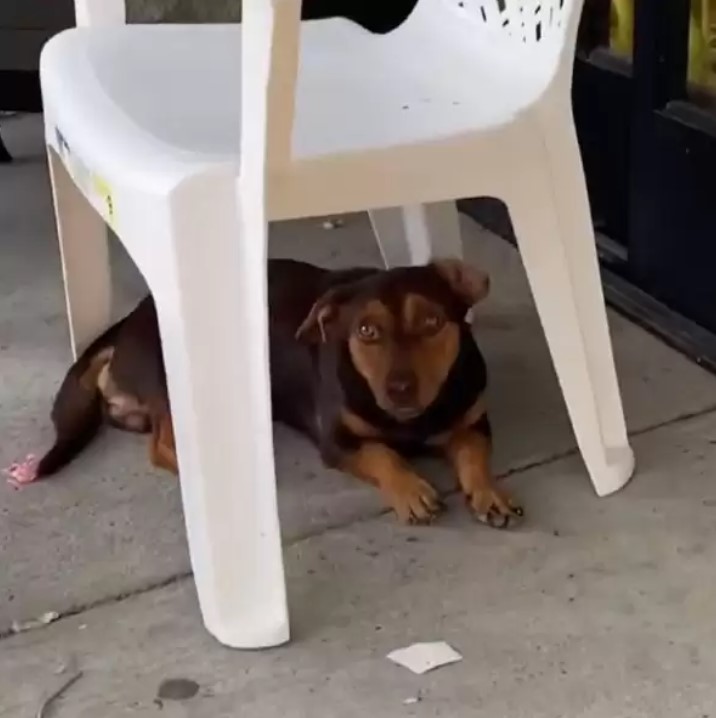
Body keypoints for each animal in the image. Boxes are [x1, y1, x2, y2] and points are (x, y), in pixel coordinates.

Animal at [4, 262, 520, 532]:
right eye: (366, 332)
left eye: (432, 322)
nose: (400, 387)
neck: (413, 418)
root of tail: (127, 322)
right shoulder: (338, 442)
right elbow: (383, 455)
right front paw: (411, 489)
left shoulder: (473, 421)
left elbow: (473, 454)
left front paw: (489, 490)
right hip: (176, 380)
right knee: (163, 444)